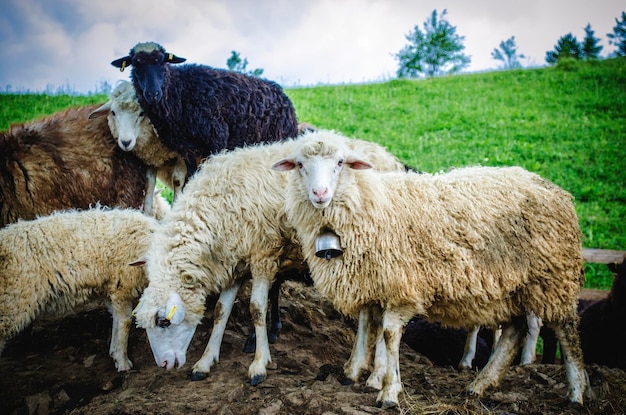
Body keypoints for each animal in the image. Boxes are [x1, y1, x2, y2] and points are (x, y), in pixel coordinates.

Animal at [0, 206, 160, 372]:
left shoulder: (110, 288)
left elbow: (116, 319)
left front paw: (114, 353)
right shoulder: (121, 288)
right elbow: (125, 322)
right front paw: (123, 362)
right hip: (12, 302)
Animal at [110, 42, 300, 177]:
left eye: (162, 61)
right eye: (136, 64)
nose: (152, 93)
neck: (180, 92)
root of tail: (281, 93)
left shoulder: (216, 140)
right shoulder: (185, 147)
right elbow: (191, 177)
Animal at [132, 131, 404, 386]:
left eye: (163, 322)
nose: (164, 364)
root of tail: (387, 155)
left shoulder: (264, 255)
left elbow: (256, 309)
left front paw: (259, 365)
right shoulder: (235, 263)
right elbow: (220, 311)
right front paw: (205, 361)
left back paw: (370, 372)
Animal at [270, 133, 588, 410]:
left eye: (339, 163)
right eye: (300, 165)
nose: (320, 193)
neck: (366, 203)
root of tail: (555, 189)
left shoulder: (401, 286)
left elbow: (388, 334)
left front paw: (388, 390)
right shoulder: (373, 281)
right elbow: (366, 324)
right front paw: (358, 372)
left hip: (553, 276)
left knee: (567, 332)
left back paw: (576, 393)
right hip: (514, 285)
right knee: (514, 331)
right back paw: (480, 385)